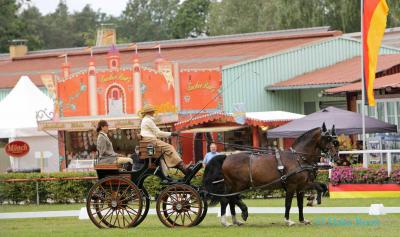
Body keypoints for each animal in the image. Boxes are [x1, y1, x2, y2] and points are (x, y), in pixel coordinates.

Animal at [203, 124, 338, 226]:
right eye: (328, 138)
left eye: (335, 140)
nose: (336, 156)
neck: (299, 158)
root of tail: (227, 157)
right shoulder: (292, 186)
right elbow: (288, 203)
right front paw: (288, 220)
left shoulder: (302, 186)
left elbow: (307, 199)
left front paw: (304, 217)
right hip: (237, 185)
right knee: (227, 199)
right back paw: (230, 220)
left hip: (235, 186)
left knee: (231, 199)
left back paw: (236, 220)